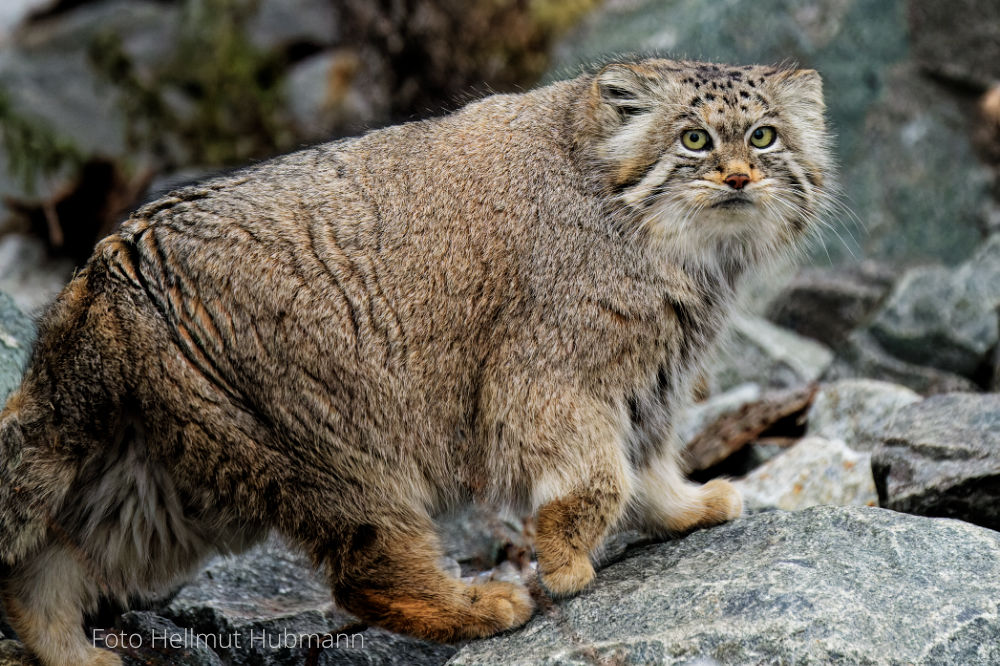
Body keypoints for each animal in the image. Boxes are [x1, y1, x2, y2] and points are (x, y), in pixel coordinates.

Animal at [0, 58, 828, 664]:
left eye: (763, 137)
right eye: (694, 140)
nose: (739, 177)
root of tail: (105, 268)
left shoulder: (651, 380)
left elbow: (645, 467)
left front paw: (686, 509)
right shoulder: (547, 376)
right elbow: (600, 475)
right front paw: (564, 559)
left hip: (159, 484)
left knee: (48, 558)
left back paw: (70, 651)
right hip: (330, 446)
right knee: (368, 577)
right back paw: (479, 605)